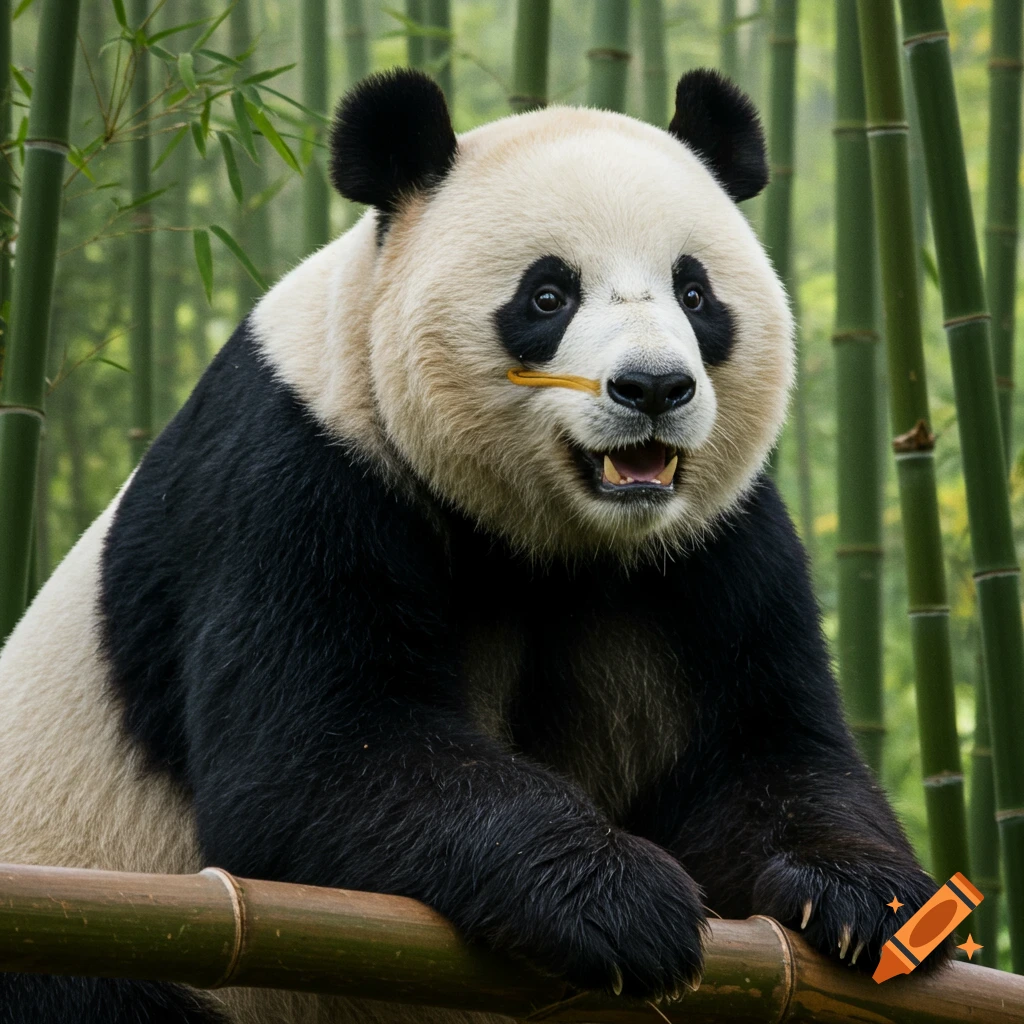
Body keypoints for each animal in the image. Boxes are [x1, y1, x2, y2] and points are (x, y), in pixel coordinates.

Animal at [0, 68, 947, 1024]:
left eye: (694, 293)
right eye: (548, 295)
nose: (653, 388)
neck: (559, 540)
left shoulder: (713, 543)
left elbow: (767, 751)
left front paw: (868, 901)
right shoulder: (300, 473)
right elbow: (320, 754)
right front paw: (618, 900)